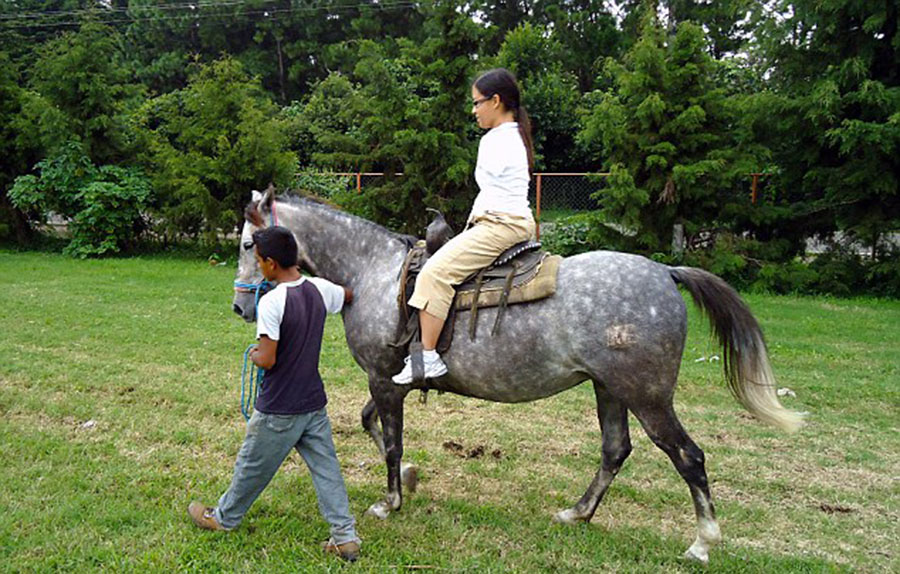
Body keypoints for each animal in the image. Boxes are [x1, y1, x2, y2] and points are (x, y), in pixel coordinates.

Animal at [230, 188, 800, 564]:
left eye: (247, 244)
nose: (240, 307)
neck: (373, 273)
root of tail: (666, 271)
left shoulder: (383, 380)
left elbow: (388, 440)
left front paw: (390, 501)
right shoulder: (391, 381)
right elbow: (372, 425)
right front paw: (411, 478)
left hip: (648, 396)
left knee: (688, 457)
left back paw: (703, 541)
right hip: (610, 390)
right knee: (616, 450)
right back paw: (578, 513)